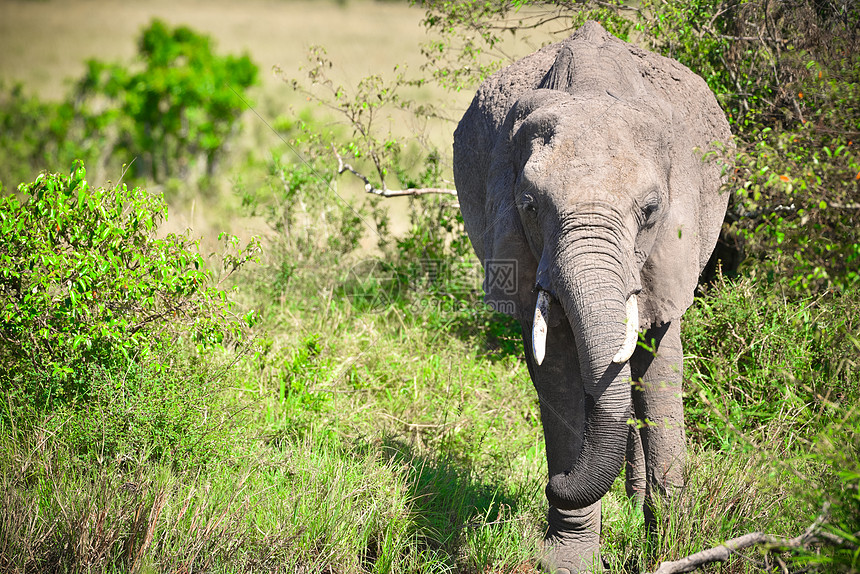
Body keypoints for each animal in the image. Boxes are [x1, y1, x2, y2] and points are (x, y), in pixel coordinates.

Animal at [454, 20, 728, 572]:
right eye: (530, 206)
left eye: (650, 210)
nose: (553, 483)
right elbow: (555, 373)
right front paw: (567, 561)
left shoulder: (671, 247)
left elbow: (658, 363)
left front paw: (673, 547)